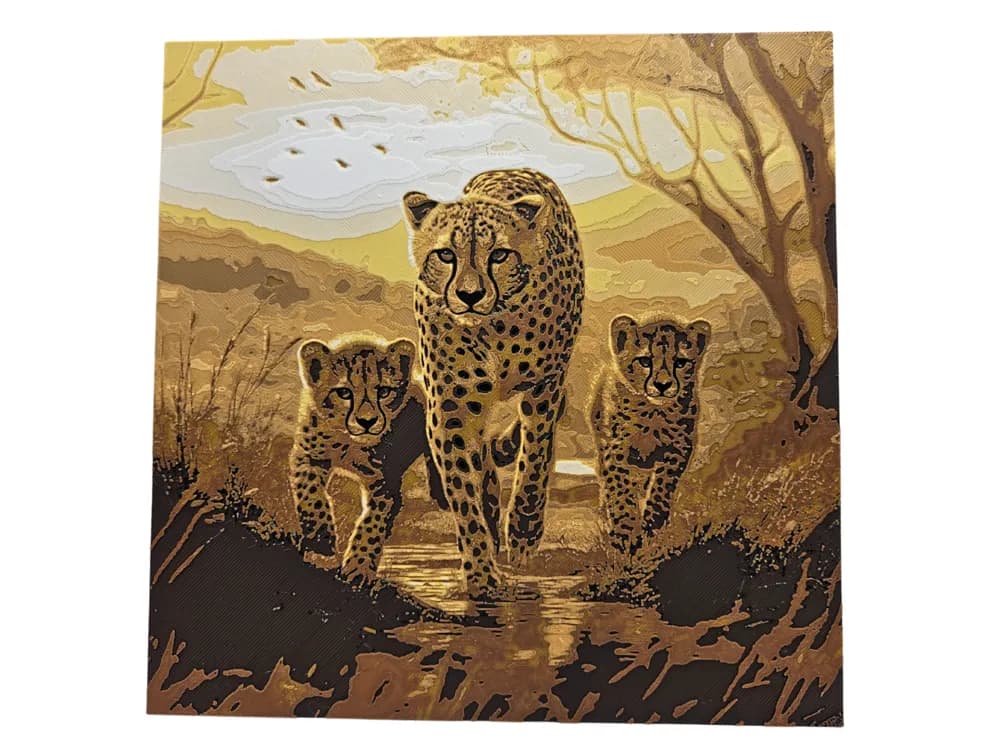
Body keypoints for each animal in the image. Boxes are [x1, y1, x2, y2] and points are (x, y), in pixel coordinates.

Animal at [402, 167, 585, 600]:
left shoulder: (544, 388)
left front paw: (523, 531)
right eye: (445, 255)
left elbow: (534, 462)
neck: (495, 327)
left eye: (499, 254)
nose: (470, 295)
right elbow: (463, 492)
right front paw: (481, 574)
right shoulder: (451, 407)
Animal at [588, 314, 711, 554]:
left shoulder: (677, 450)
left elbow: (661, 489)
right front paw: (626, 532)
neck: (652, 413)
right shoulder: (616, 450)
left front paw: (652, 528)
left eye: (680, 363)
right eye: (645, 361)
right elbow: (620, 491)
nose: (662, 385)